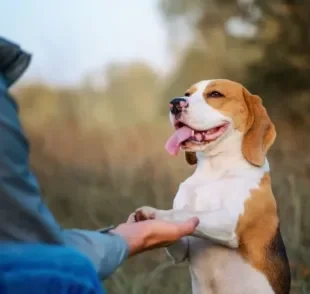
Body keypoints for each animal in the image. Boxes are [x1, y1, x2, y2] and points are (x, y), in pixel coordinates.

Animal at [135, 79, 290, 292]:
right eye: (187, 94)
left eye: (215, 94)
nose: (174, 103)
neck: (213, 171)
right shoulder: (182, 249)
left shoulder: (230, 222)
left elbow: (185, 213)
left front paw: (153, 213)